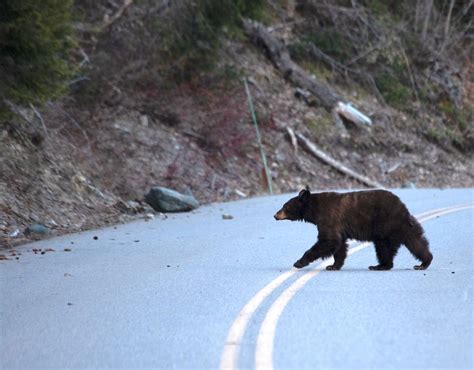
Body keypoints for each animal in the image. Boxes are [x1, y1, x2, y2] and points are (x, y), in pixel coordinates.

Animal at [274, 188, 434, 268]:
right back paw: (424, 262)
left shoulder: (328, 217)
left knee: (384, 247)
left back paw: (381, 266)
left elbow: (328, 240)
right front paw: (334, 265)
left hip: (386, 224)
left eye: (285, 206)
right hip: (403, 226)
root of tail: (403, 208)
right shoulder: (339, 227)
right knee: (415, 241)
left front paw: (299, 262)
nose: (275, 215)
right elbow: (339, 245)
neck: (315, 209)